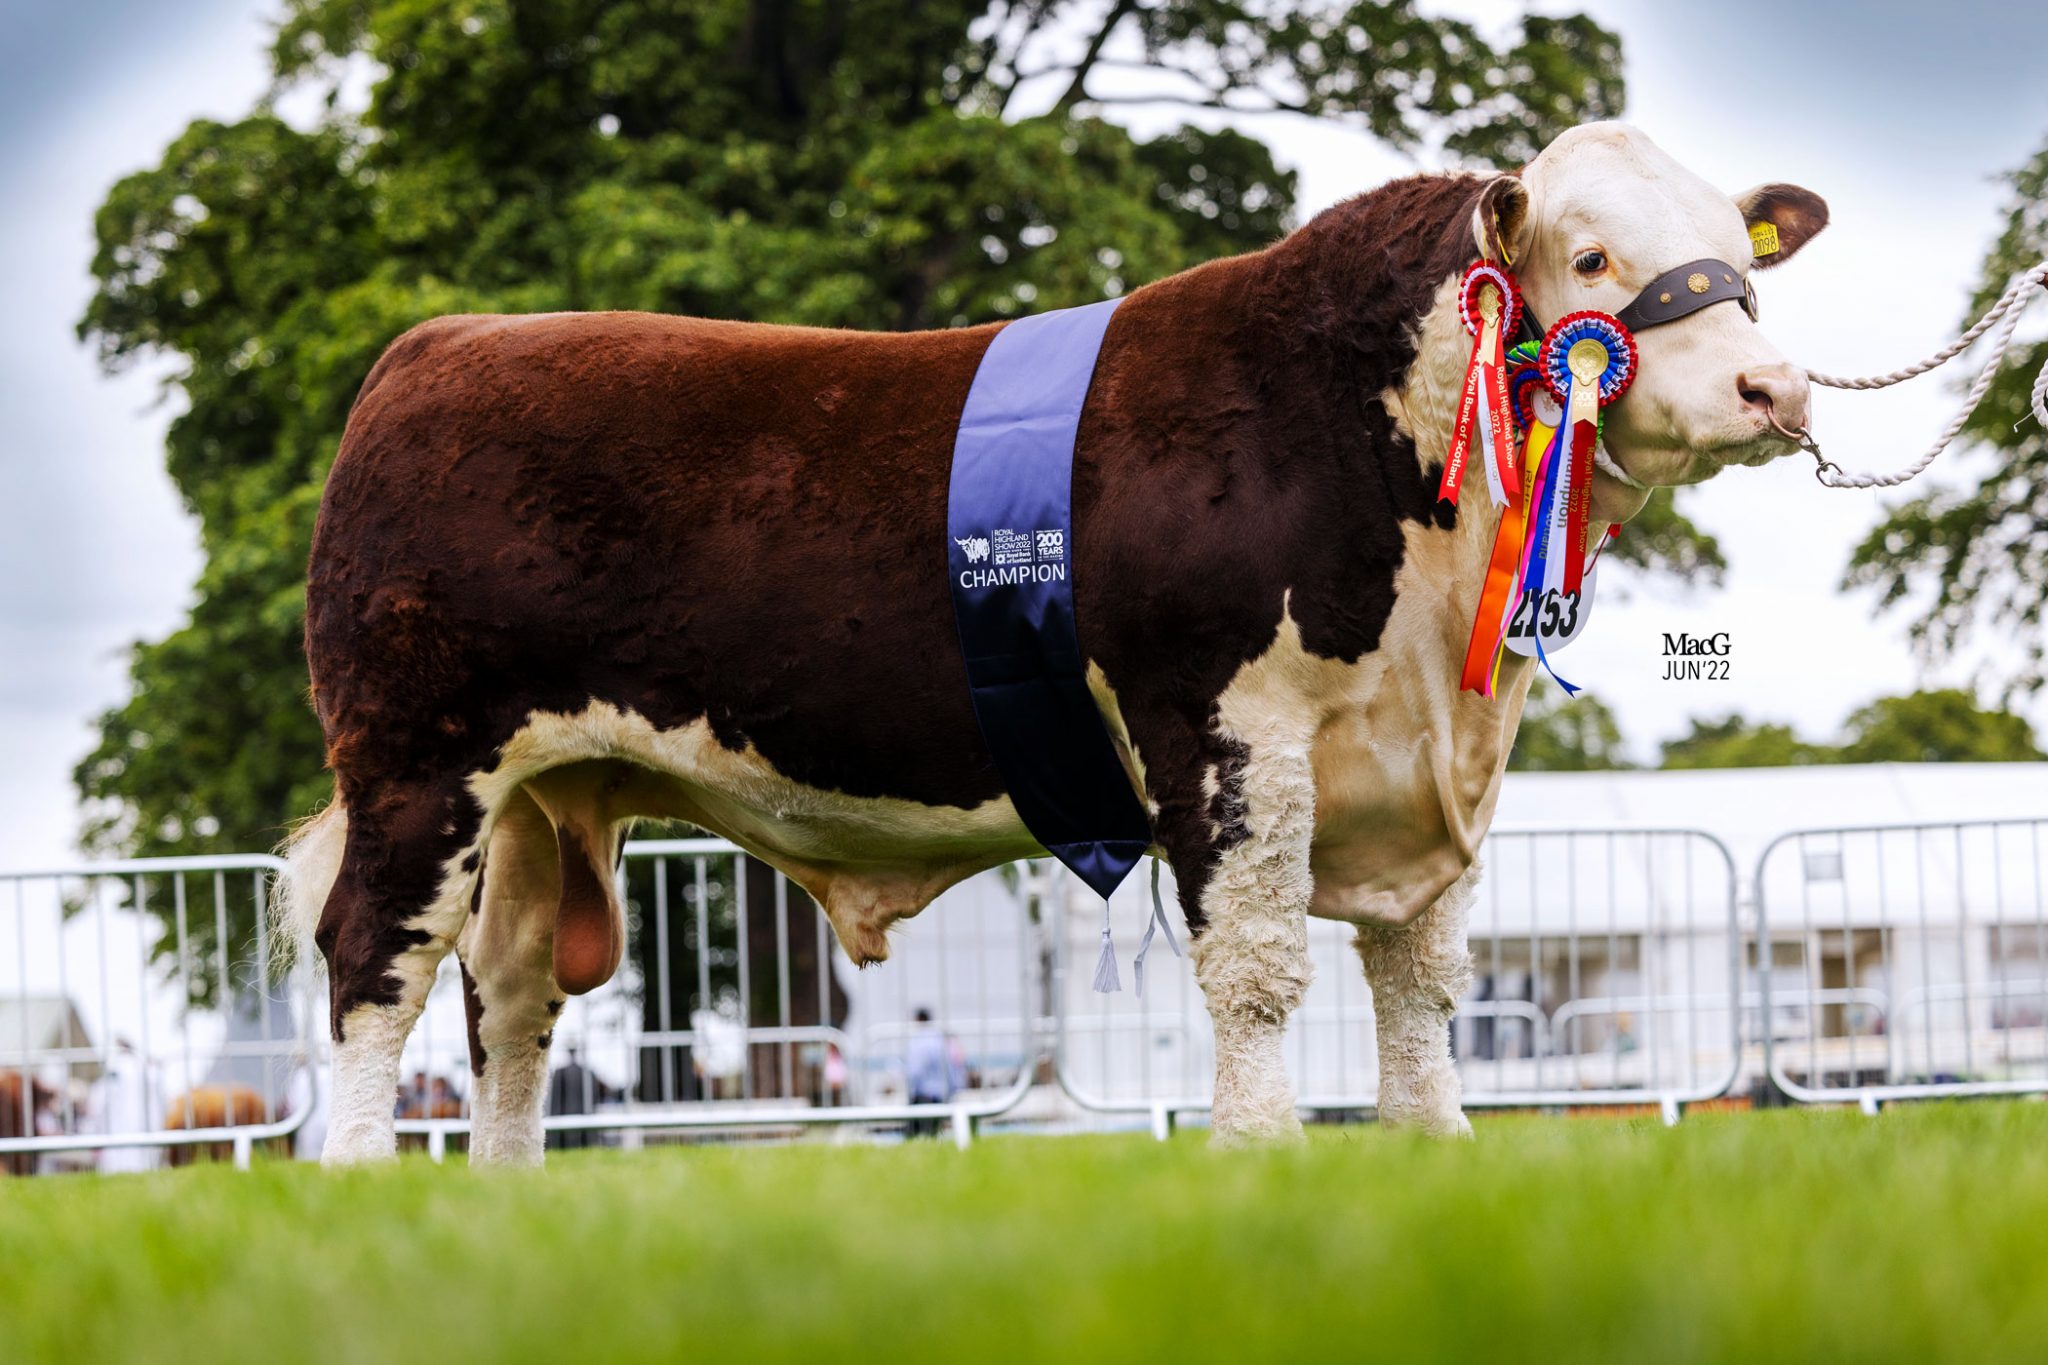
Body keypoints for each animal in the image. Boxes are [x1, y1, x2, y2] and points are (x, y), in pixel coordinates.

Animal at [281, 122, 1826, 1165]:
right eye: (1591, 253)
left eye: (1740, 256)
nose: (1773, 387)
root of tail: (436, 345)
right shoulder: (1220, 725)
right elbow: (1255, 963)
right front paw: (1261, 1157)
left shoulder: (1427, 762)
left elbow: (1420, 979)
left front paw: (1432, 1150)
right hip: (420, 757)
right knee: (375, 958)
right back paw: (366, 1179)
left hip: (536, 799)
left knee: (509, 994)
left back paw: (504, 1192)